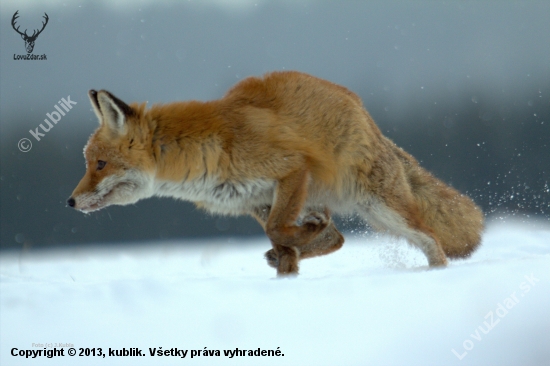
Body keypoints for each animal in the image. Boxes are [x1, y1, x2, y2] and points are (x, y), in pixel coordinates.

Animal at [68, 70, 484, 276]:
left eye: (99, 164)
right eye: (87, 163)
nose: (70, 202)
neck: (207, 154)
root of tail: (369, 119)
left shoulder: (290, 170)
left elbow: (279, 232)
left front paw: (291, 258)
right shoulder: (253, 201)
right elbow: (284, 241)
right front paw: (286, 279)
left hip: (383, 209)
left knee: (432, 242)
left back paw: (437, 280)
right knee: (336, 237)